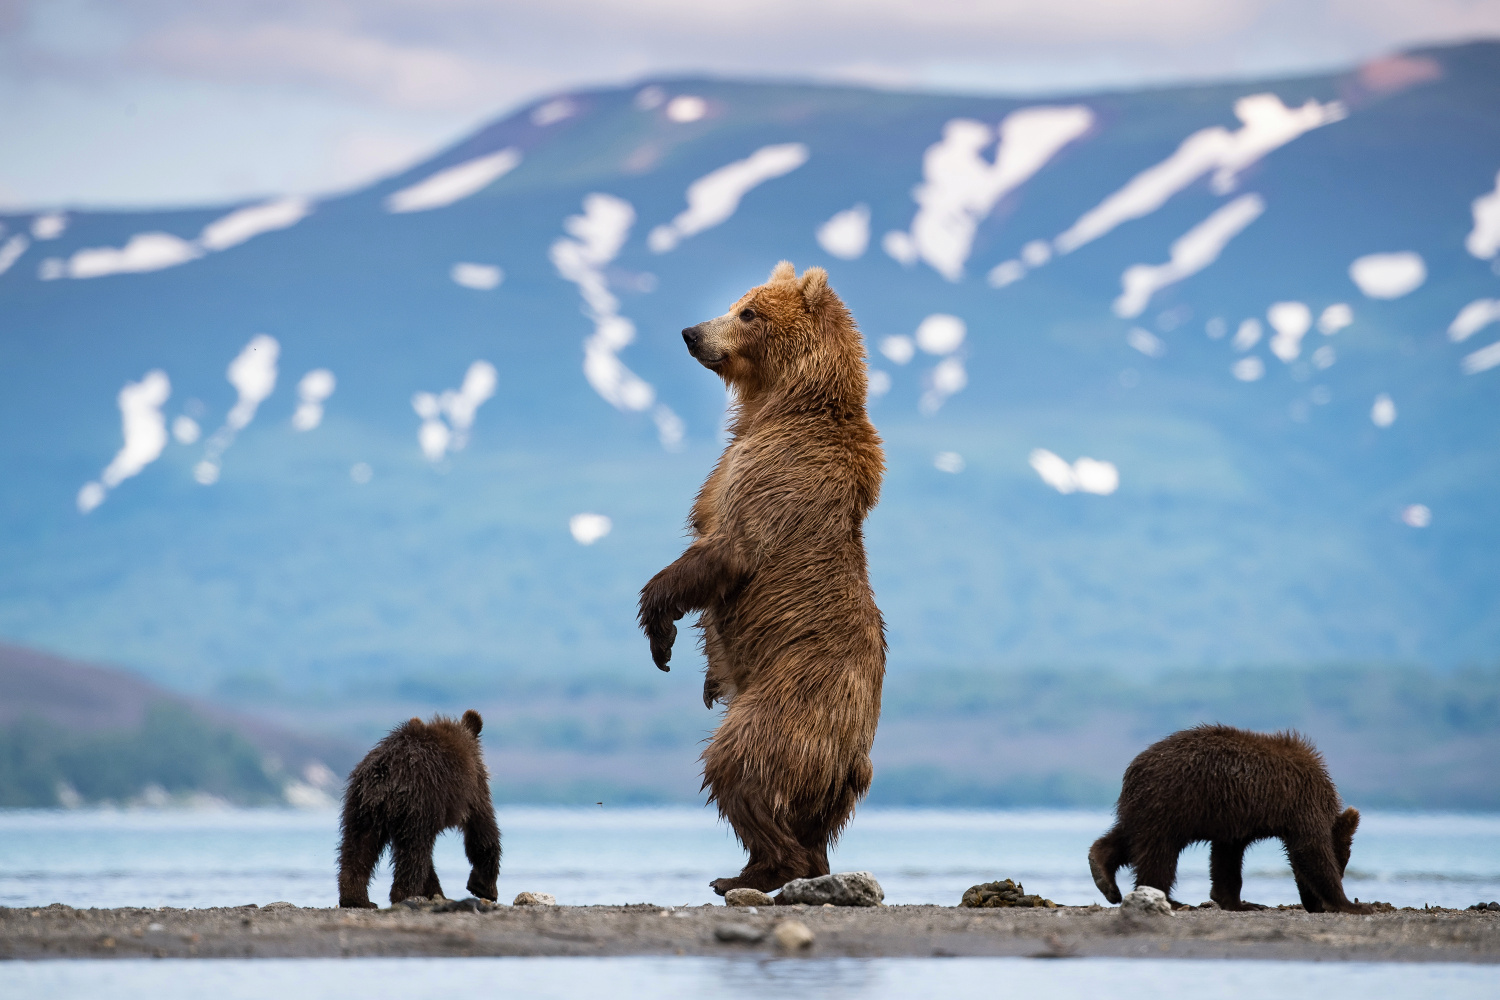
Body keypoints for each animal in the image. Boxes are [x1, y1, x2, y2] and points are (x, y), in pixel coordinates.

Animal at [337, 707, 501, 911]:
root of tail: (385, 775)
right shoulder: (473, 789)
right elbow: (482, 830)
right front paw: (484, 886)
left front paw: (435, 890)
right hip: (418, 805)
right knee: (413, 852)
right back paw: (405, 895)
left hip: (361, 806)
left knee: (358, 846)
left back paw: (357, 899)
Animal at [639, 262, 882, 893]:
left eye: (747, 313)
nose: (691, 332)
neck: (776, 408)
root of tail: (849, 758)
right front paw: (703, 677)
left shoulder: (774, 476)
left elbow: (725, 552)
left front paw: (657, 622)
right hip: (832, 772)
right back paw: (765, 866)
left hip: (790, 700)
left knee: (738, 765)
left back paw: (759, 871)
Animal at [1092, 728, 1374, 917]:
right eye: (1342, 863)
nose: (1315, 906)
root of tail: (1135, 766)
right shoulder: (1300, 806)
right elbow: (1311, 851)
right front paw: (1351, 904)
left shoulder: (1236, 821)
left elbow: (1226, 859)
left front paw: (1240, 902)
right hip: (1172, 802)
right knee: (1158, 853)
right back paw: (1172, 900)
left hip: (1156, 806)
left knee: (1129, 837)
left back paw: (1103, 873)